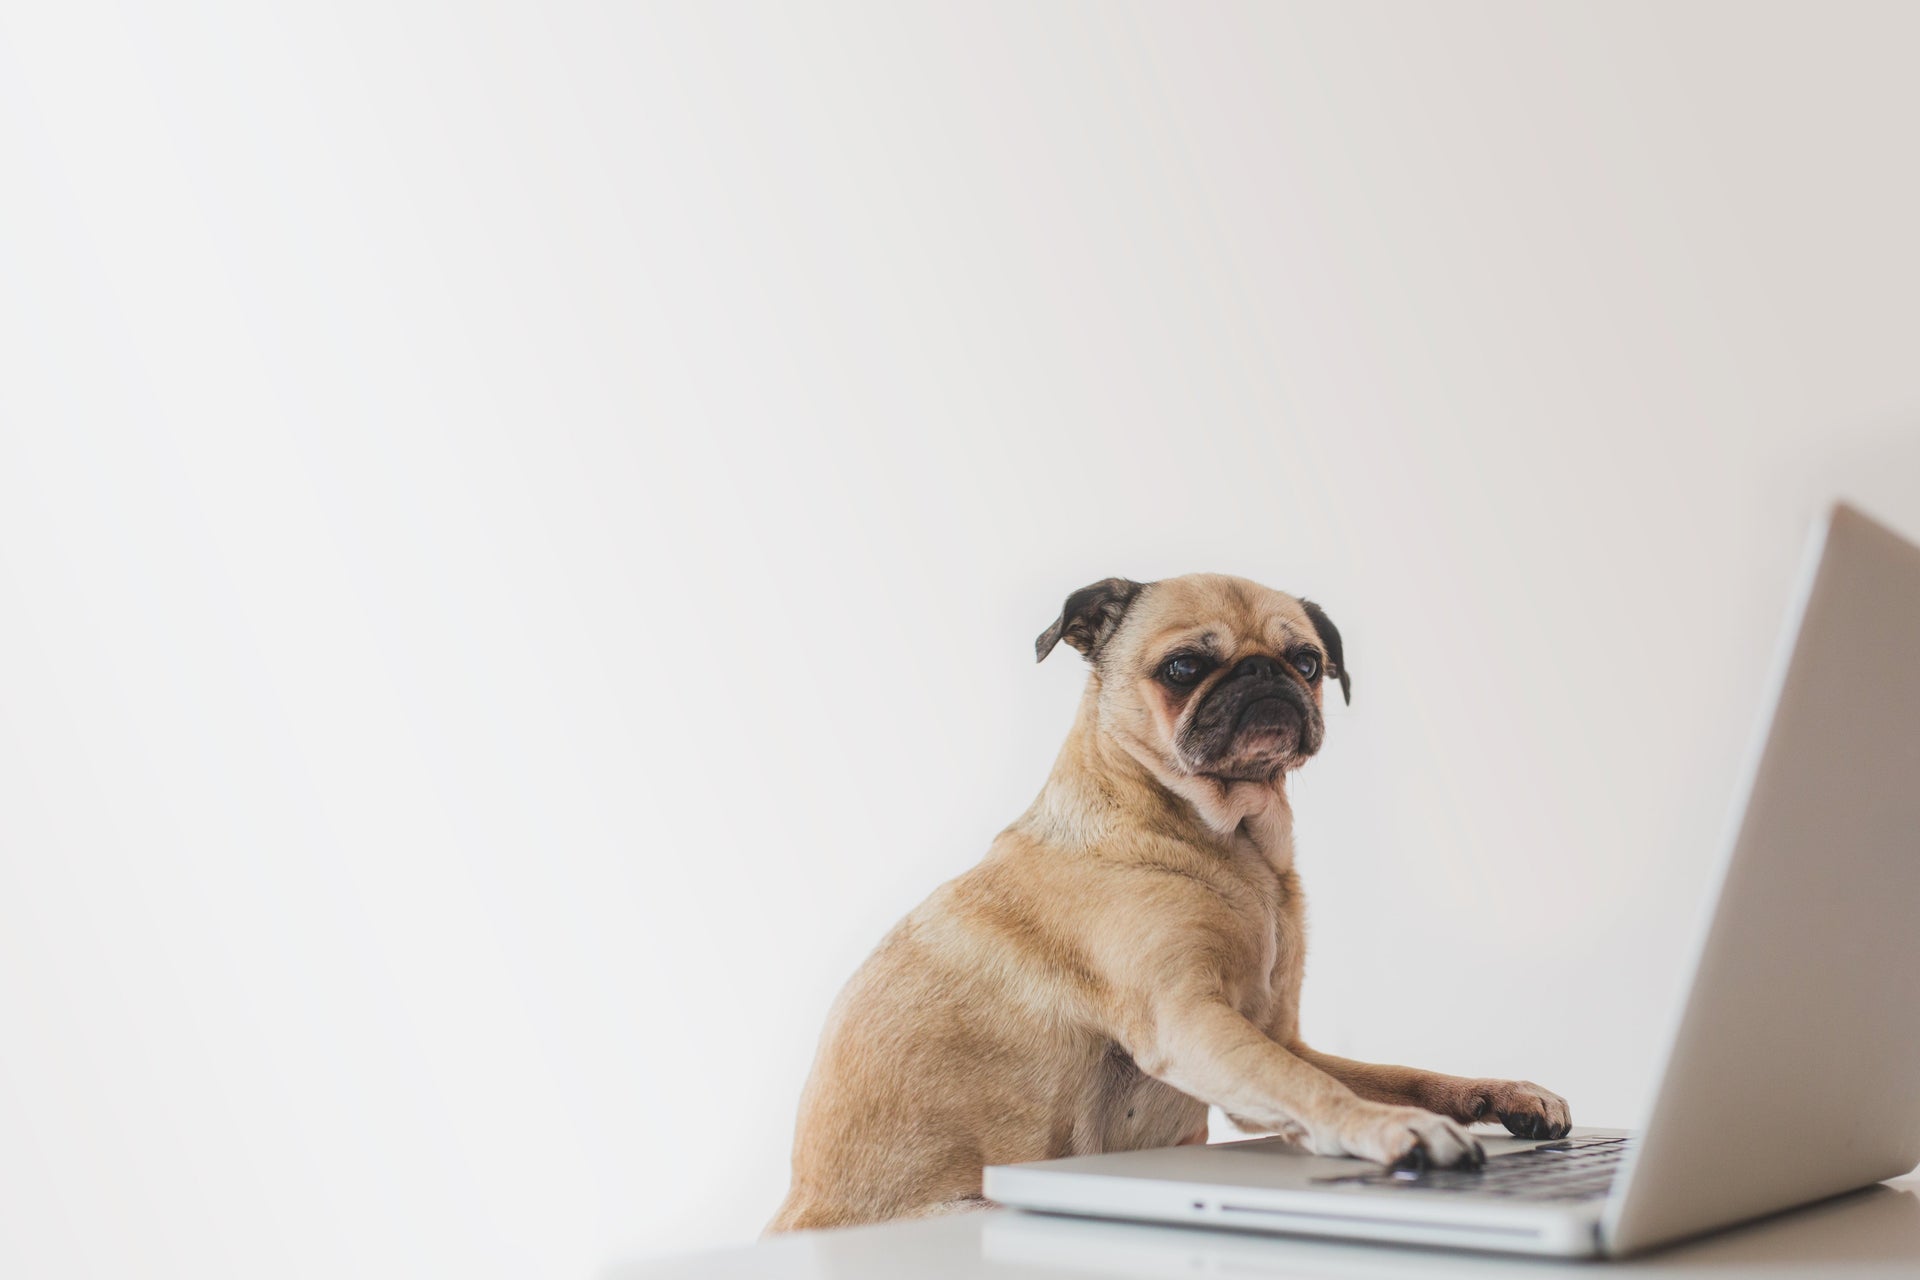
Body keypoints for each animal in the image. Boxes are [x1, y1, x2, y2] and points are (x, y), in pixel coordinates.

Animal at [768, 579, 1574, 1228]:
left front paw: (1499, 1095)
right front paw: (1393, 1129)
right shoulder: (1191, 1022)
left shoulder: (1276, 1035)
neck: (1231, 846)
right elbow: (1310, 1087)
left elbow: (1401, 1074)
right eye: (1184, 668)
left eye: (1308, 662)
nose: (1264, 671)